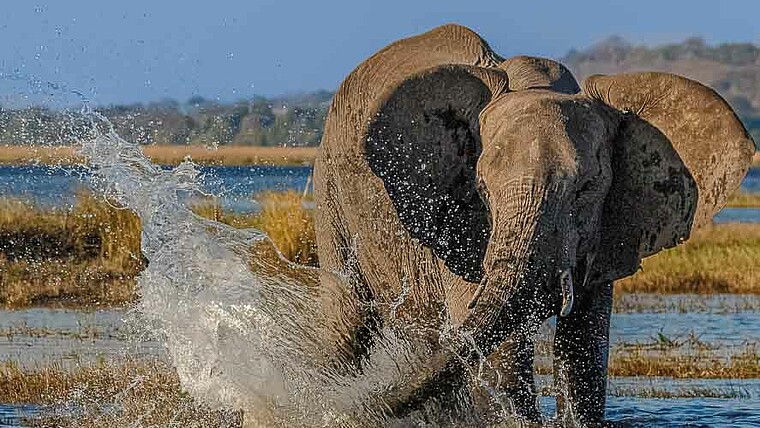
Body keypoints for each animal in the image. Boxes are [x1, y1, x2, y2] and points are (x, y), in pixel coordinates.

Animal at [307, 23, 754, 426]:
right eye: (482, 187)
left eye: (587, 188)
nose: (354, 408)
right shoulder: (464, 223)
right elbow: (497, 345)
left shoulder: (608, 228)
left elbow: (585, 347)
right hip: (329, 187)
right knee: (348, 322)